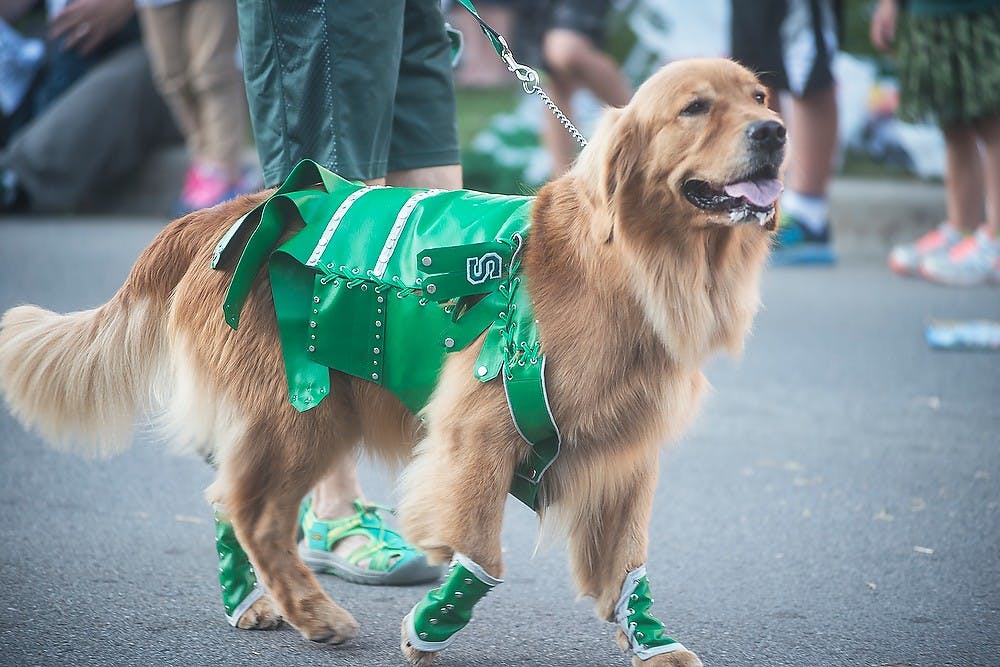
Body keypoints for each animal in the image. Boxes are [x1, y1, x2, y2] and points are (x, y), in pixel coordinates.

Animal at [0, 58, 780, 667]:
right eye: (695, 107)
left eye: (761, 96)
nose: (774, 133)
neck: (632, 264)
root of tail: (231, 213)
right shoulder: (478, 433)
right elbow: (481, 554)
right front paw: (431, 626)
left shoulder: (626, 454)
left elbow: (627, 563)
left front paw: (651, 638)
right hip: (300, 414)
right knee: (254, 513)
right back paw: (315, 613)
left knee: (227, 500)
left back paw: (252, 603)